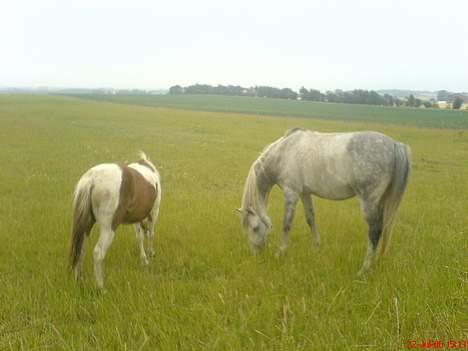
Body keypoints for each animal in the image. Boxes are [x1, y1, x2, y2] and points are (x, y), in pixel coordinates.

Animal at [68, 153, 162, 290]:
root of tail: (92, 179)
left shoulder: (137, 219)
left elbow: (140, 237)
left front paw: (144, 258)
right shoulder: (154, 213)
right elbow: (150, 234)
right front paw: (150, 254)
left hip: (86, 225)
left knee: (81, 249)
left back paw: (79, 281)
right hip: (108, 228)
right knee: (98, 252)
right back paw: (101, 287)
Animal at [239, 128, 412, 276]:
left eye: (255, 228)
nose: (255, 253)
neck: (283, 152)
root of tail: (394, 144)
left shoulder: (291, 193)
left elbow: (286, 224)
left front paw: (280, 253)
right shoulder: (305, 193)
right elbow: (311, 219)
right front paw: (317, 248)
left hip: (368, 202)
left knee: (374, 231)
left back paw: (364, 269)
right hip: (381, 201)